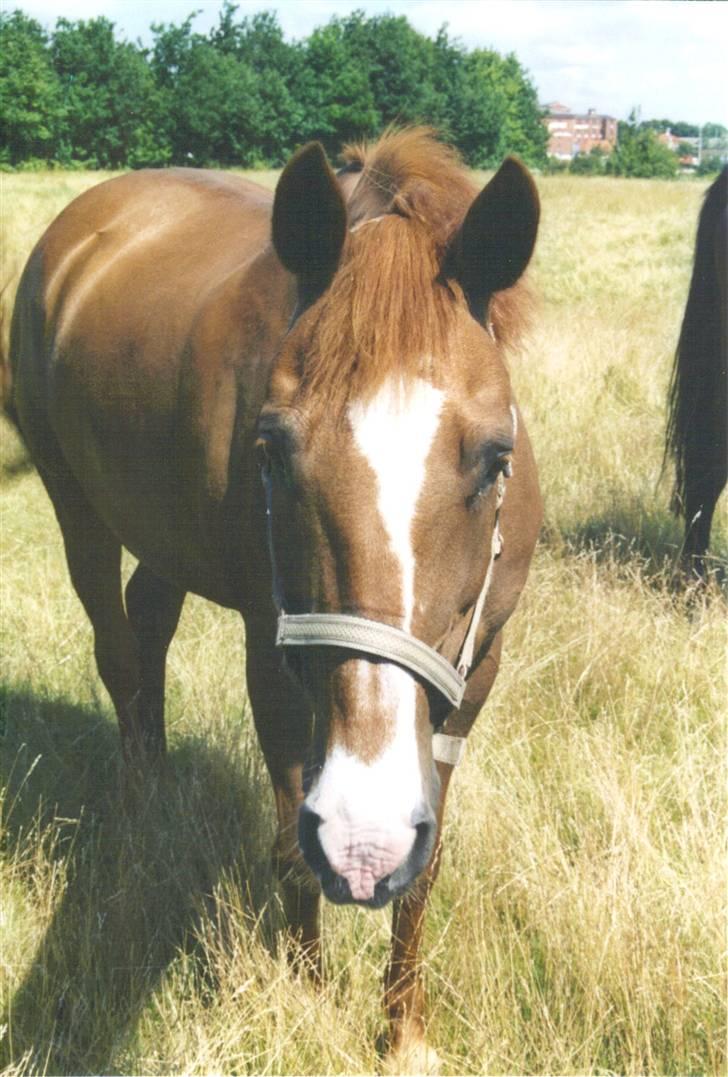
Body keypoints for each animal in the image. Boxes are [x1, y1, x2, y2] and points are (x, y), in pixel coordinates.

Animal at [9, 128, 540, 1068]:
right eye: (273, 449)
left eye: (494, 457)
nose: (366, 838)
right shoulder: (273, 650)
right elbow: (295, 845)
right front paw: (310, 1001)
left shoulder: (478, 665)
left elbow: (428, 864)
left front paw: (403, 1032)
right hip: (78, 507)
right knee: (119, 651)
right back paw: (142, 816)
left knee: (150, 623)